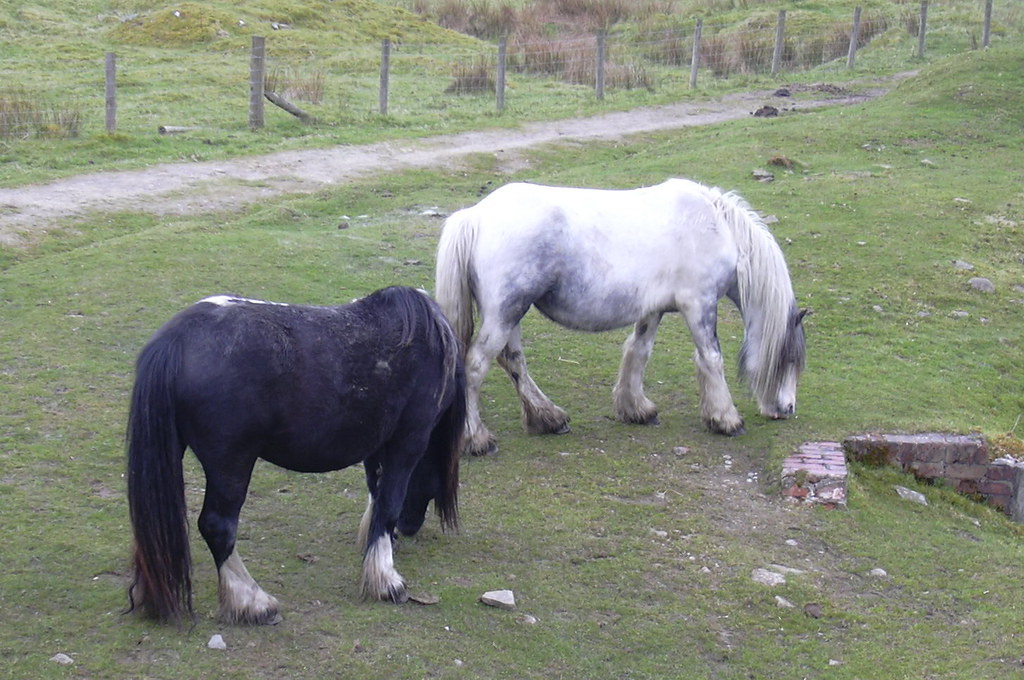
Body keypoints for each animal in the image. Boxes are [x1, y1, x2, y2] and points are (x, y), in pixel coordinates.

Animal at [125, 286, 466, 625]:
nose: (409, 528)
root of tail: (175, 339)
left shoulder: (377, 443)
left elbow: (375, 491)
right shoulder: (406, 442)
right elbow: (388, 504)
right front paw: (385, 579)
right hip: (231, 463)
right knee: (217, 526)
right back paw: (252, 602)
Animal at [435, 178, 806, 457]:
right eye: (789, 359)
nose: (787, 409)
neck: (713, 227)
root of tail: (474, 217)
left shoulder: (653, 310)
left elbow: (638, 352)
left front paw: (637, 409)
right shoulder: (698, 305)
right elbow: (711, 359)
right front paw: (726, 419)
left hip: (510, 313)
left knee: (513, 362)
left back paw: (548, 419)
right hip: (505, 312)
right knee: (476, 366)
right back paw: (476, 439)